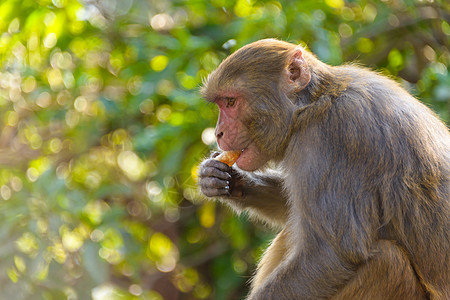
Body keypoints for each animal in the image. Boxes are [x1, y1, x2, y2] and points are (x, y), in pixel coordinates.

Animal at [200, 38, 450, 298]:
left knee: (386, 260)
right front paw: (223, 178)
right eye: (221, 104)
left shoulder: (333, 136)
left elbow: (331, 255)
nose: (218, 133)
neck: (315, 105)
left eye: (231, 102)